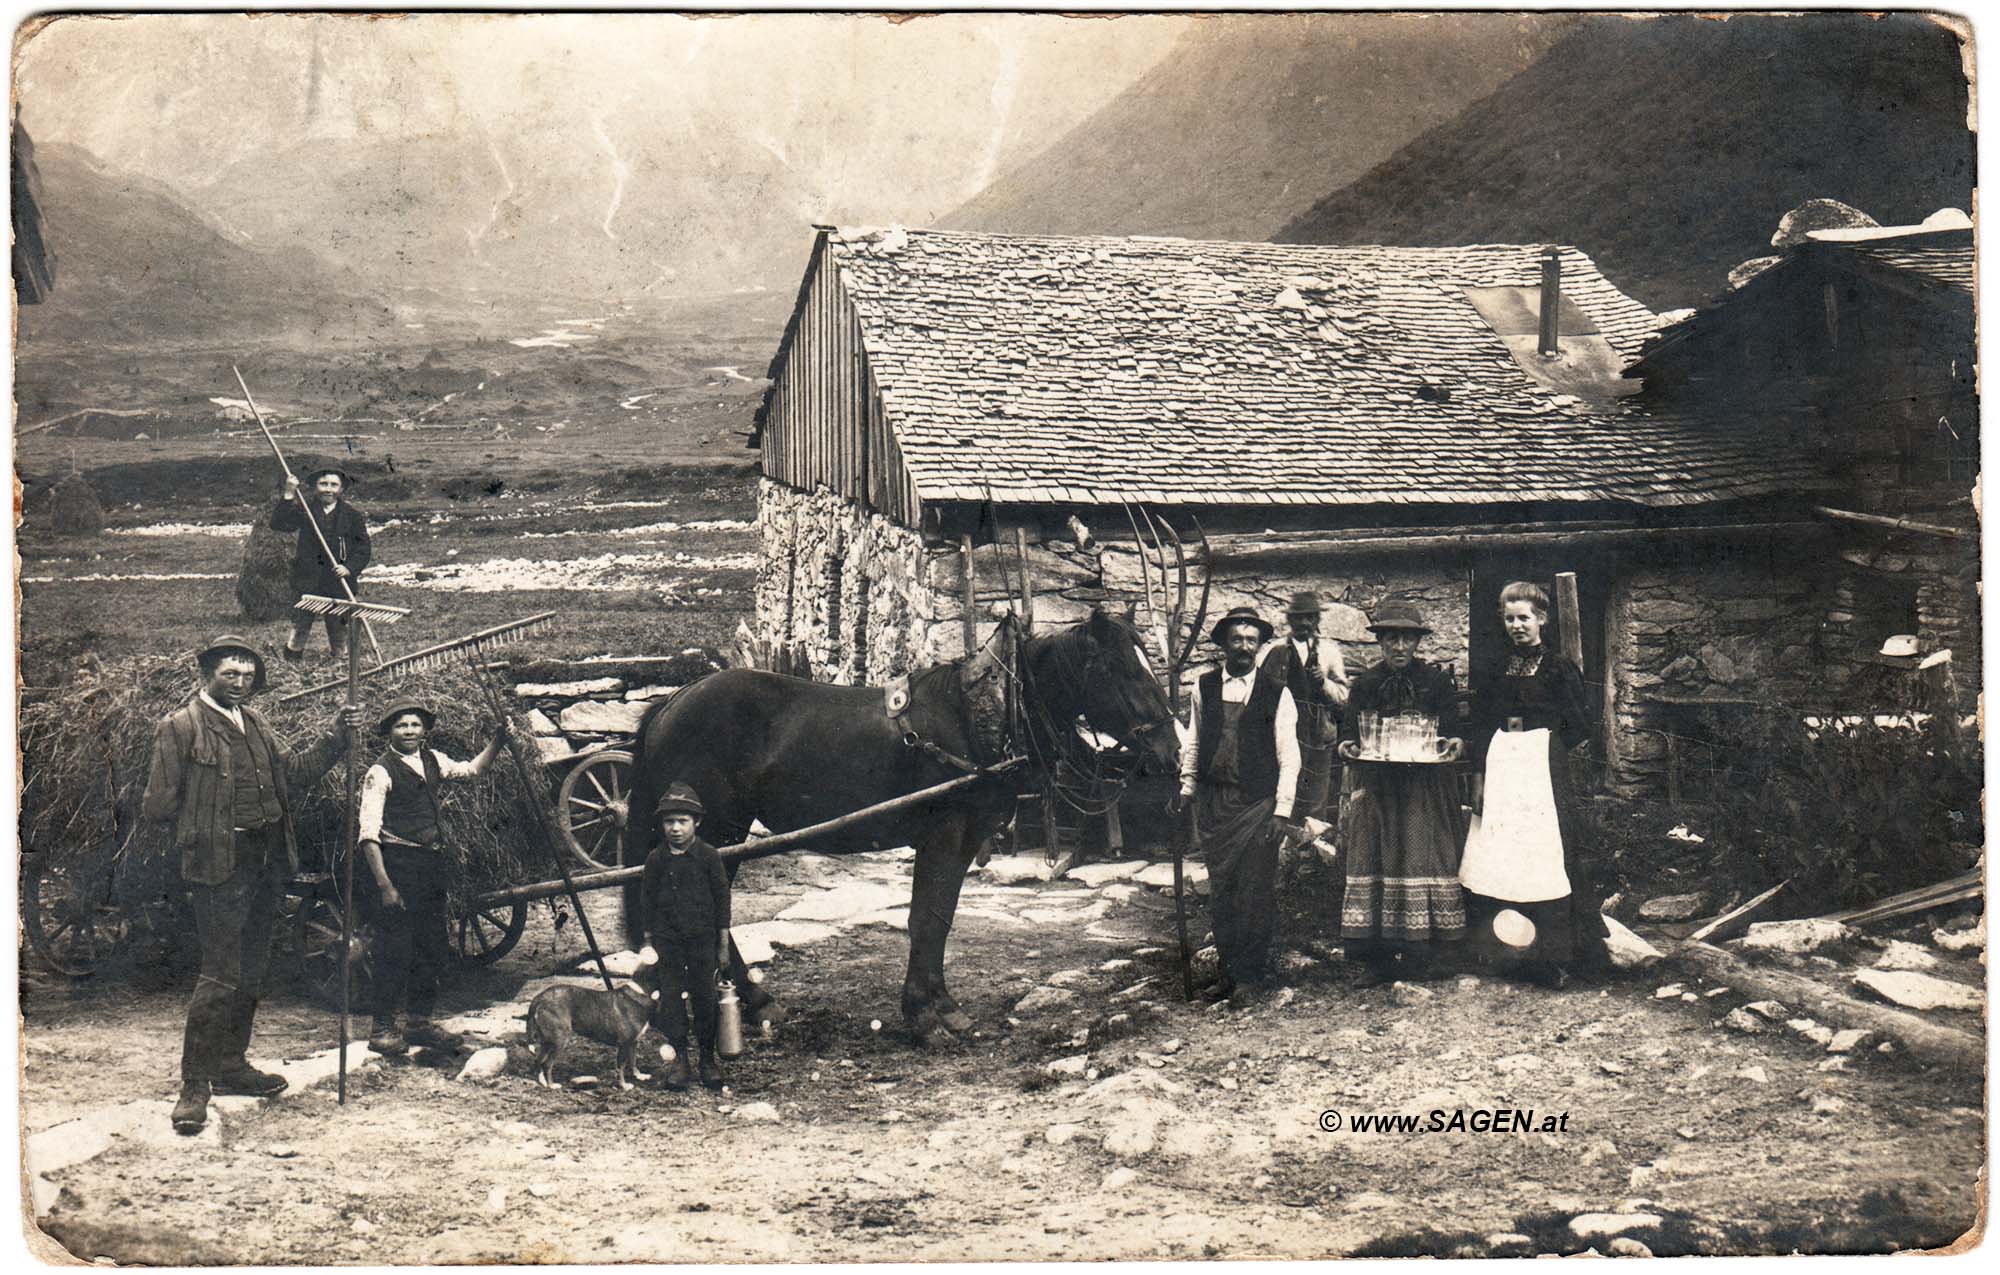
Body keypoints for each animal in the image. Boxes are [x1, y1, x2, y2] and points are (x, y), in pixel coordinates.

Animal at [524, 975, 656, 1095]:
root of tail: (540, 997)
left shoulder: (633, 1042)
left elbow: (633, 1061)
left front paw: (639, 1076)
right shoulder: (624, 1044)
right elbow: (621, 1067)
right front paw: (623, 1085)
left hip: (548, 1042)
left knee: (538, 1060)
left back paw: (543, 1082)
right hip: (559, 1041)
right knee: (547, 1064)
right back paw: (551, 1085)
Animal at [616, 611, 1176, 1047]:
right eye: (1123, 670)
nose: (1169, 751)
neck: (981, 715)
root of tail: (671, 703)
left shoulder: (965, 840)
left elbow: (941, 917)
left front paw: (943, 1007)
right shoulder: (943, 835)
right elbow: (924, 919)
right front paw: (923, 1017)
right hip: (718, 830)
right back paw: (749, 1000)